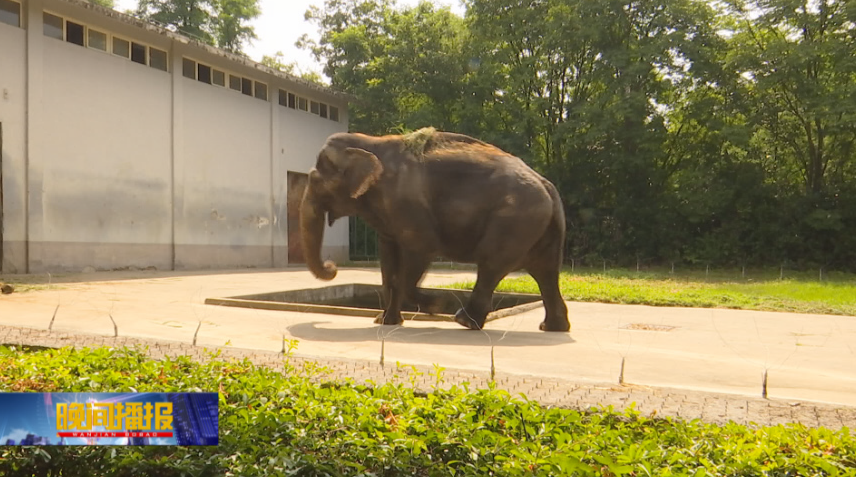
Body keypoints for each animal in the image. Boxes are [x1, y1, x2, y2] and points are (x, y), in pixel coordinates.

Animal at [298, 128, 572, 332]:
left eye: (316, 182)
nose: (332, 267)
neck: (370, 142)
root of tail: (546, 183)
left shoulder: (407, 204)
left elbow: (421, 250)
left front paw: (437, 305)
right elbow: (388, 261)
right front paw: (386, 322)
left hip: (515, 220)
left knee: (492, 265)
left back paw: (463, 320)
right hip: (540, 225)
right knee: (546, 271)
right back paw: (551, 327)